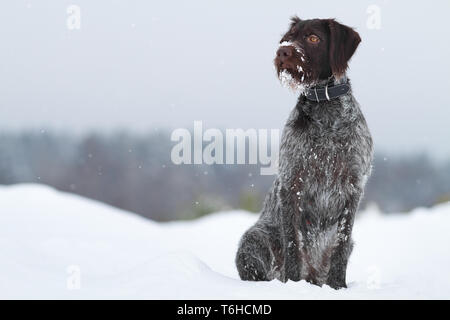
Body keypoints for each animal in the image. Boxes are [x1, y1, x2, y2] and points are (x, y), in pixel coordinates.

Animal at [236, 16, 372, 288]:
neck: (325, 108)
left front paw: (338, 287)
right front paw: (291, 283)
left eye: (313, 38)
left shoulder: (353, 186)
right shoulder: (292, 182)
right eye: (288, 37)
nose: (283, 51)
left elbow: (340, 244)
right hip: (253, 239)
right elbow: (292, 242)